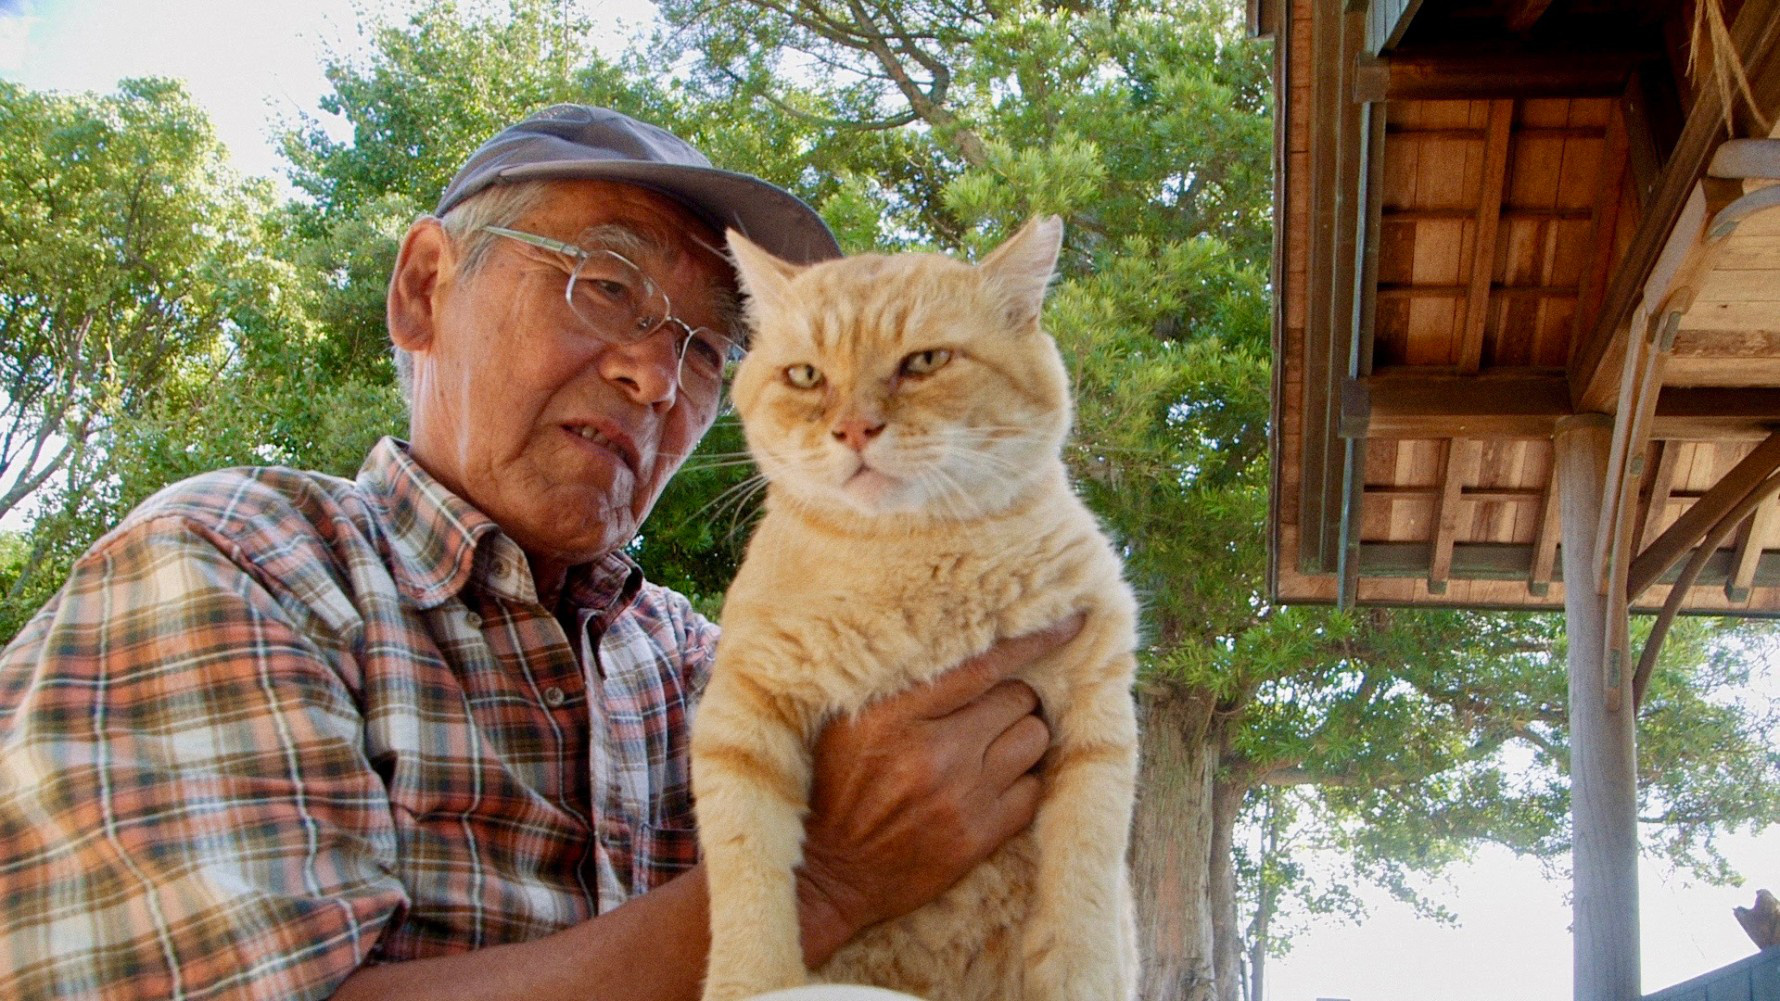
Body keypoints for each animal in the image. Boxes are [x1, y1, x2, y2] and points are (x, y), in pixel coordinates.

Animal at [694, 214, 1139, 990]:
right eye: (806, 375)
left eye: (925, 361)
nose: (854, 428)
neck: (910, 559)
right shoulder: (741, 717)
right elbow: (747, 882)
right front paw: (751, 983)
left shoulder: (1097, 709)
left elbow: (1083, 892)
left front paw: (1081, 978)